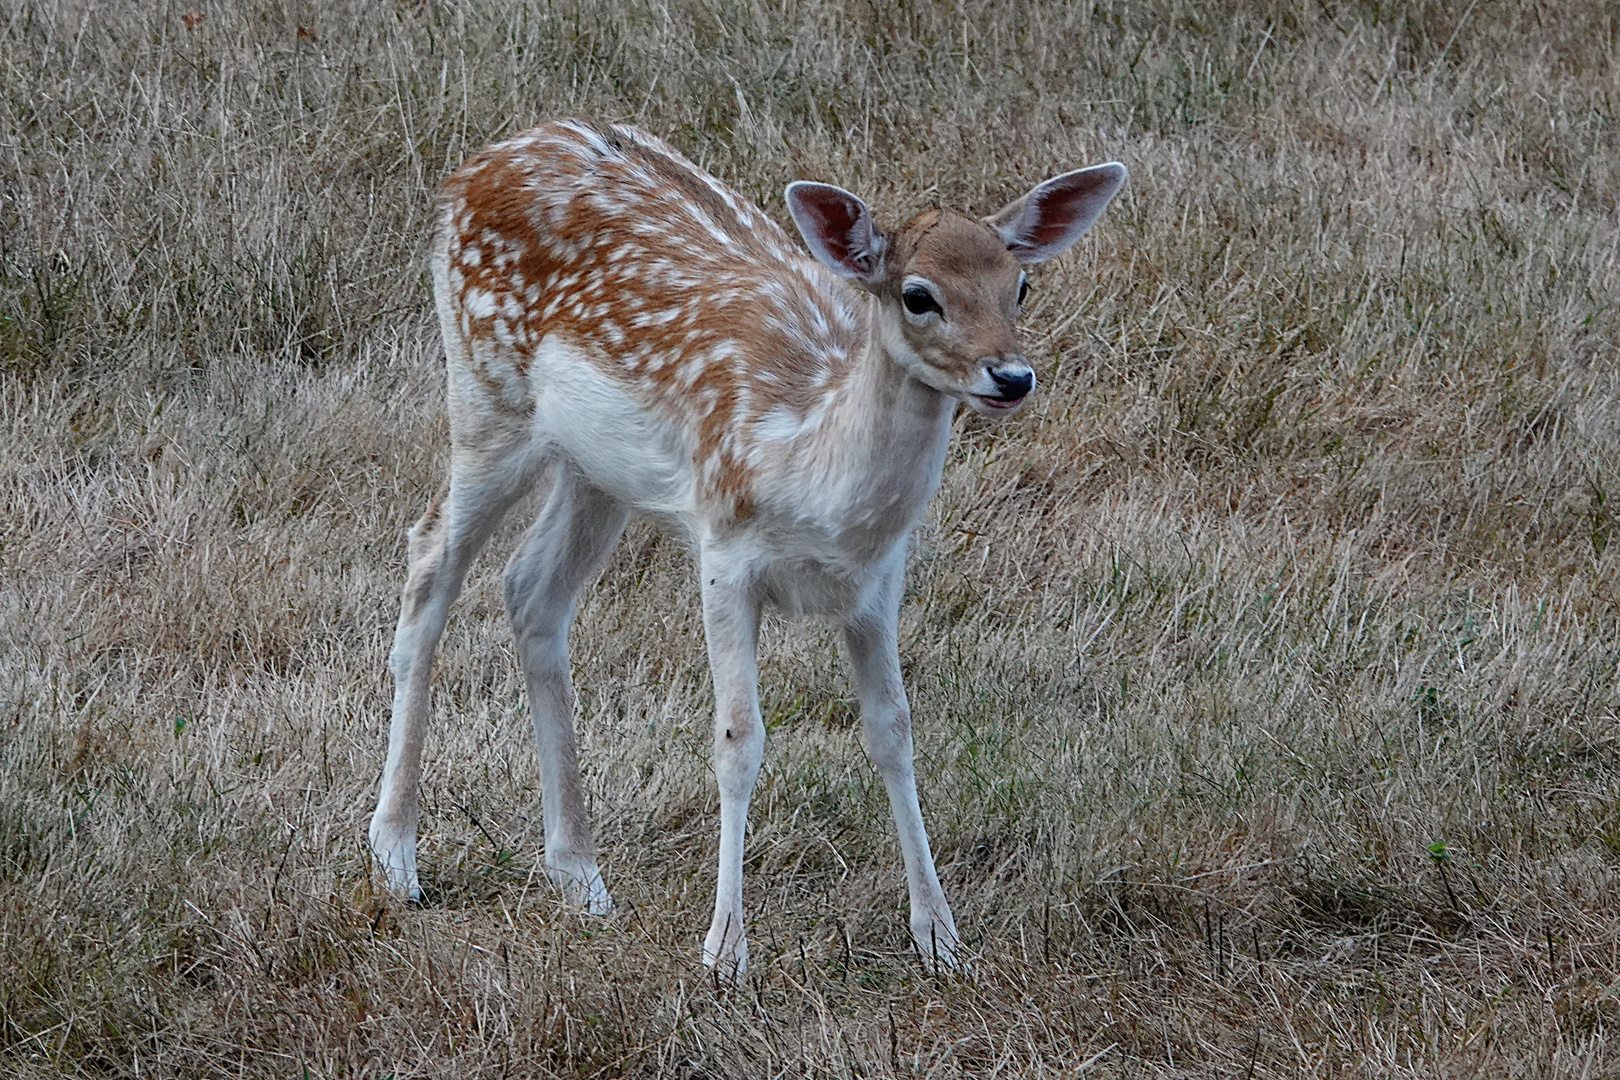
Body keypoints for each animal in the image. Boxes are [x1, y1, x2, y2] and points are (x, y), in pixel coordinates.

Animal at [370, 118, 1127, 977]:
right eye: (919, 295)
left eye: (1020, 286)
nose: (1012, 376)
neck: (812, 474)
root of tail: (474, 166)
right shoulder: (725, 547)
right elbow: (738, 737)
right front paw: (726, 950)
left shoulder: (877, 582)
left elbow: (893, 731)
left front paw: (940, 938)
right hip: (486, 392)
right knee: (430, 558)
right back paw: (396, 858)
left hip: (596, 467)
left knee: (532, 590)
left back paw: (580, 875)